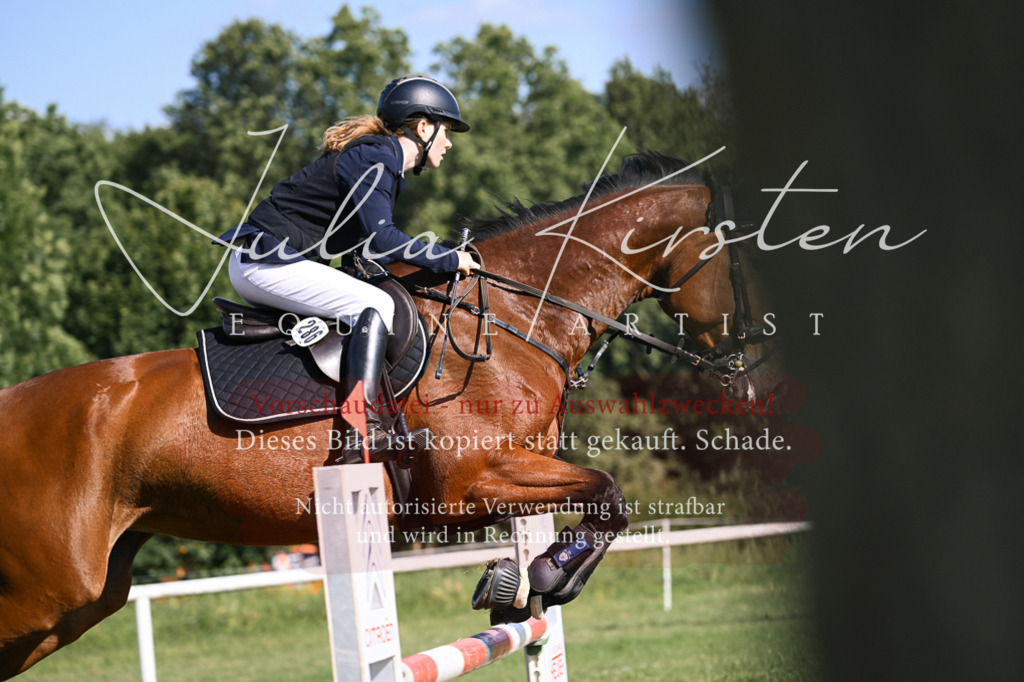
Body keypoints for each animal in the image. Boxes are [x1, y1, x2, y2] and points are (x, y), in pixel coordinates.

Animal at [0, 151, 777, 678]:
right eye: (742, 261)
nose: (754, 367)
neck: (516, 318)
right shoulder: (468, 486)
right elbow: (611, 496)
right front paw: (546, 576)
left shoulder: (516, 472)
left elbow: (603, 504)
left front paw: (519, 584)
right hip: (50, 587)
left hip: (86, 596)